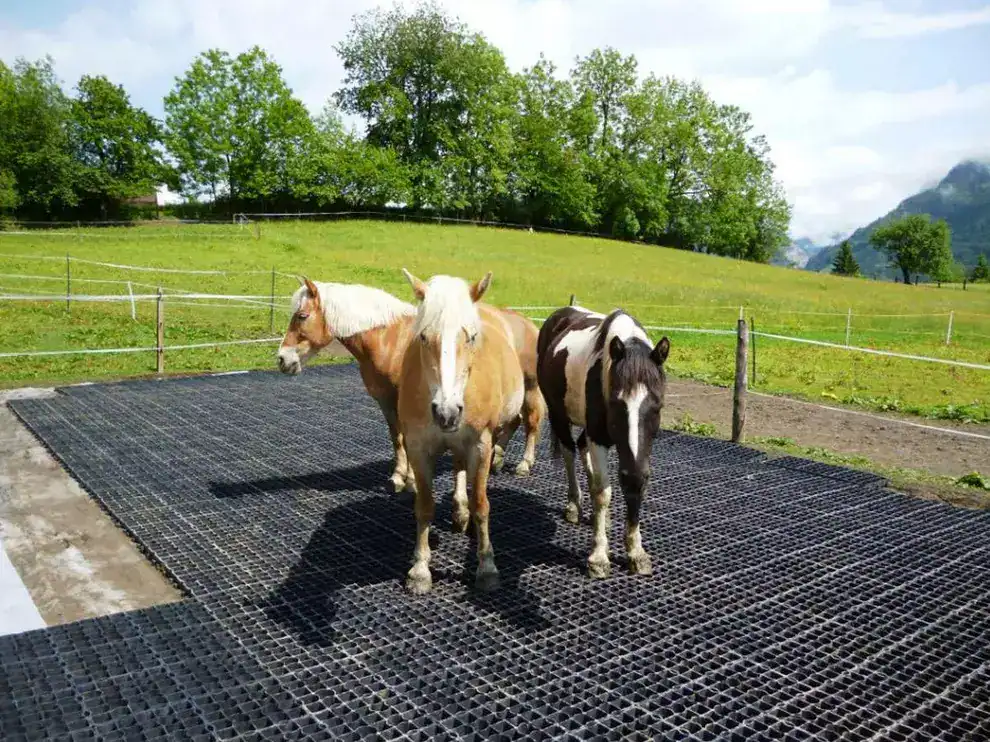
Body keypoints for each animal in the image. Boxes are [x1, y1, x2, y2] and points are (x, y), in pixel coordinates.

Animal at [276, 277, 544, 497]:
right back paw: (497, 458)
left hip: (529, 388)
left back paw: (524, 464)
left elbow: (407, 439)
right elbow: (396, 437)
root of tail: (527, 323)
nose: (282, 359)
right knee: (514, 421)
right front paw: (397, 477)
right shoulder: (385, 400)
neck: (390, 341)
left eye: (301, 316)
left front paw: (412, 481)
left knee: (531, 422)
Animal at [397, 269, 525, 593]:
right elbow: (424, 507)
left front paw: (487, 567)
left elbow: (481, 504)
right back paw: (459, 511)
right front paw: (420, 570)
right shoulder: (418, 448)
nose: (447, 411)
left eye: (471, 337)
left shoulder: (480, 445)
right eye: (424, 336)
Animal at [536, 305, 669, 579]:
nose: (633, 477)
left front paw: (636, 552)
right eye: (616, 404)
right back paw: (574, 506)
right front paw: (598, 556)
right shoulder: (598, 436)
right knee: (569, 452)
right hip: (558, 415)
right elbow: (602, 492)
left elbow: (625, 491)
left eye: (657, 406)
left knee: (582, 449)